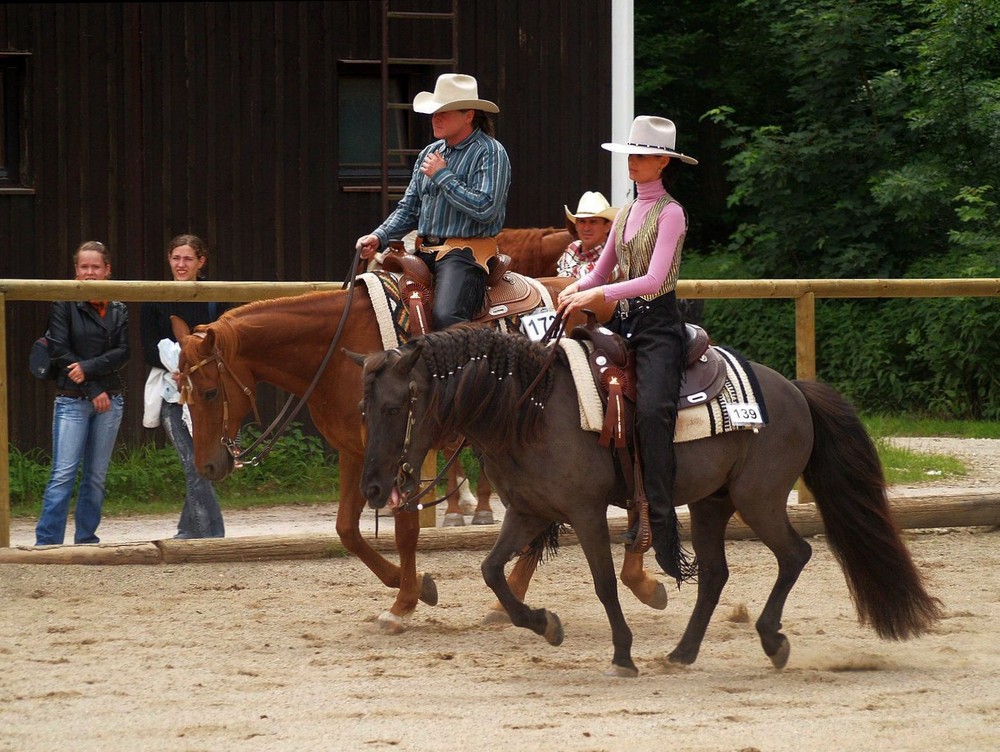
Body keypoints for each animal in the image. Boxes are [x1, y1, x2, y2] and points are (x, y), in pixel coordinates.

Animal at [348, 326, 940, 680]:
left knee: (796, 554)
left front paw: (622, 654)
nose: (373, 490)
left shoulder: (585, 514)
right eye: (363, 408)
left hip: (759, 499)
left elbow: (604, 583)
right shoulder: (528, 511)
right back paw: (683, 653)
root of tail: (793, 390)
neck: (528, 409)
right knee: (717, 574)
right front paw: (545, 624)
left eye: (396, 406)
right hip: (711, 504)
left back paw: (771, 641)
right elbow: (492, 571)